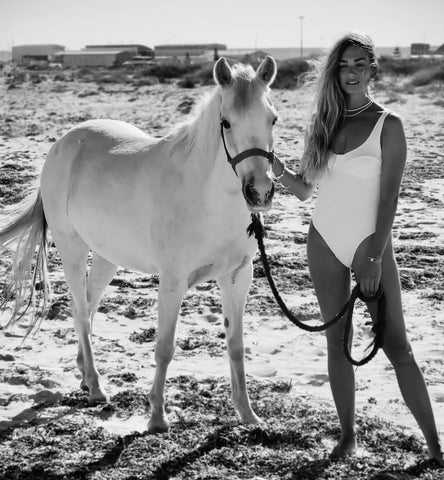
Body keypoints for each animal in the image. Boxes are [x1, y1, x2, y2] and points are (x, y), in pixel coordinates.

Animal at [0, 55, 278, 432]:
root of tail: (63, 143)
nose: (260, 192)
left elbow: (235, 345)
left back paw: (85, 374)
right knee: (81, 311)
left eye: (272, 118)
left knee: (88, 305)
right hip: (72, 250)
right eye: (226, 122)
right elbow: (165, 347)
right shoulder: (173, 283)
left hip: (107, 257)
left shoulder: (237, 277)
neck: (207, 199)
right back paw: (96, 387)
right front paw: (157, 417)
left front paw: (248, 415)